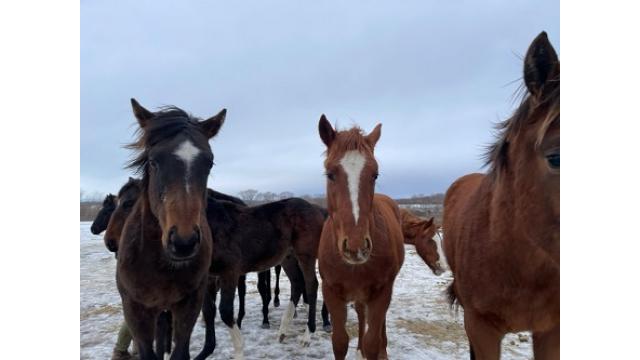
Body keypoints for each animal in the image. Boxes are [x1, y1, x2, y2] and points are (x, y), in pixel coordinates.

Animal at [115, 99, 225, 360]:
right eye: (154, 161)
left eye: (209, 163)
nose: (183, 242)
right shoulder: (135, 310)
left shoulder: (189, 305)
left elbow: (180, 352)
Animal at [199, 197, 328, 360]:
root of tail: (317, 209)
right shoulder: (207, 277)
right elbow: (208, 311)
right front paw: (205, 351)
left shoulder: (230, 272)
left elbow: (225, 311)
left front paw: (239, 351)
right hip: (288, 257)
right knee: (297, 283)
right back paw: (283, 331)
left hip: (306, 255)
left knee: (312, 285)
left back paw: (307, 335)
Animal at [316, 116, 404, 358]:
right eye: (330, 174)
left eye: (375, 174)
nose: (356, 247)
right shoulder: (331, 292)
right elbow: (339, 341)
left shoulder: (381, 293)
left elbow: (373, 341)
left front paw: (375, 349)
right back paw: (359, 349)